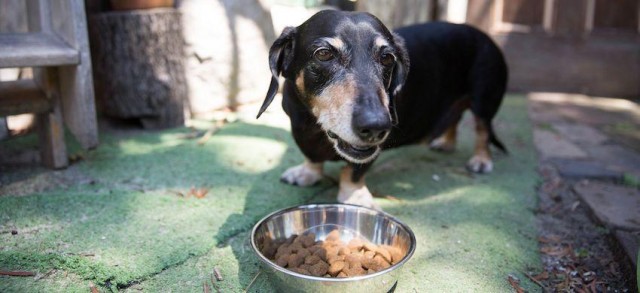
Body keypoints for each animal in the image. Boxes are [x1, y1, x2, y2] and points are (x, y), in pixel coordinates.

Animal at [258, 10, 508, 208]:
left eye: (387, 57)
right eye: (324, 53)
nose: (376, 126)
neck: (316, 126)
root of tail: (483, 35)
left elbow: (353, 171)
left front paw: (355, 196)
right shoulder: (298, 126)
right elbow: (310, 155)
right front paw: (308, 172)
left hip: (484, 100)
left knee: (482, 129)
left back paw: (481, 159)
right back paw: (446, 142)